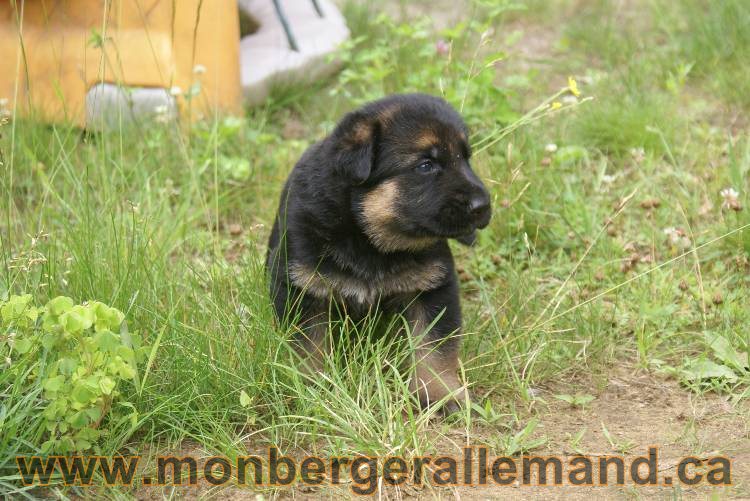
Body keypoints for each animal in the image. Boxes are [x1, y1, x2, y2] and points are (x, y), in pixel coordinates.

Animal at [266, 94, 494, 414]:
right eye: (426, 165)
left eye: (466, 158)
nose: (482, 205)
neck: (370, 239)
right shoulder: (303, 288)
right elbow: (308, 348)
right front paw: (311, 389)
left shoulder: (434, 289)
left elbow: (434, 349)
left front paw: (440, 394)